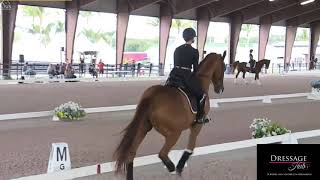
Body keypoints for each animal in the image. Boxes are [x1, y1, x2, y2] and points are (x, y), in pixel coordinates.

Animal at [114, 51, 226, 179]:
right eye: (224, 67)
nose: (220, 89)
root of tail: (153, 97)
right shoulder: (197, 125)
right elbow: (191, 147)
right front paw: (180, 167)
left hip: (143, 128)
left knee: (131, 154)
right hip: (174, 133)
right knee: (162, 153)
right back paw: (171, 167)